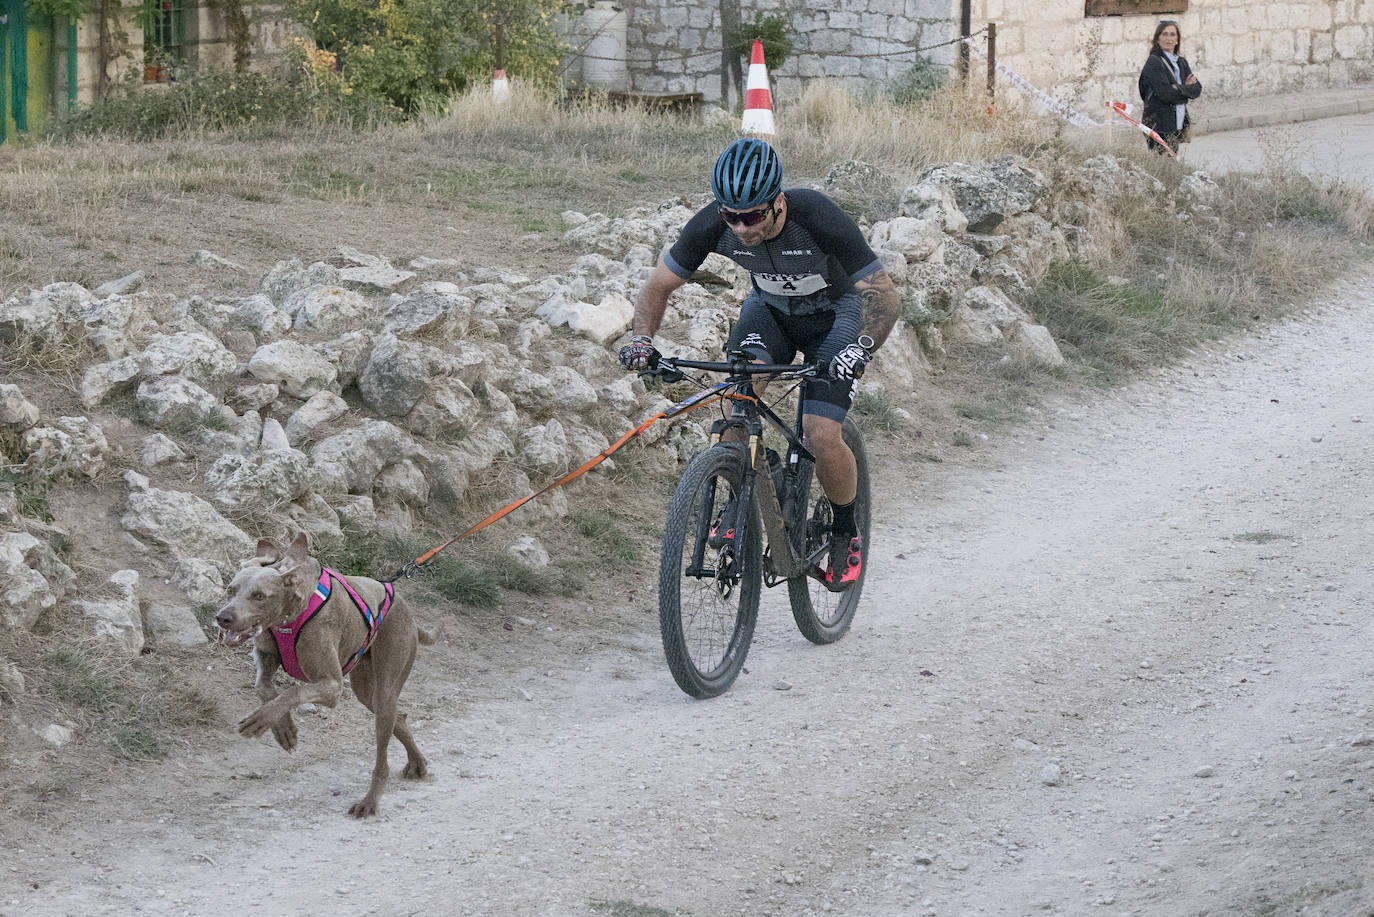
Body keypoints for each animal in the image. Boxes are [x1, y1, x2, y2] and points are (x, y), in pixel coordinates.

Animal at [214, 530, 434, 819]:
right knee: (399, 716)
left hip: (388, 677)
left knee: (383, 754)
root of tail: (408, 612)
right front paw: (283, 729)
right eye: (231, 589)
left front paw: (263, 720)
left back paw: (369, 801)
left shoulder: (331, 686)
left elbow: (293, 690)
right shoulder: (265, 655)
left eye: (259, 596)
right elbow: (263, 687)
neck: (289, 616)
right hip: (366, 688)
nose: (222, 617)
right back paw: (417, 762)